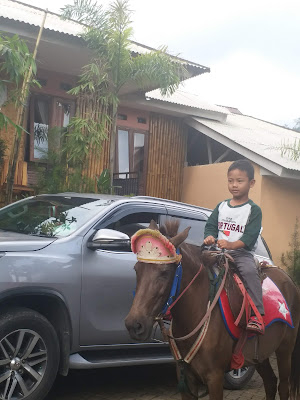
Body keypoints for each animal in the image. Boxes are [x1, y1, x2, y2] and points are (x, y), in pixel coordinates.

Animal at [124, 220, 300, 398]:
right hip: (261, 355)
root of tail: (289, 280)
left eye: (165, 272)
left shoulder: (215, 377)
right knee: (270, 382)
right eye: (136, 269)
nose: (134, 325)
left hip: (285, 349)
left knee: (283, 387)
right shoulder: (185, 377)